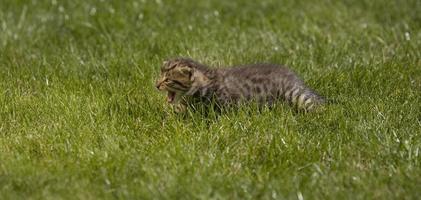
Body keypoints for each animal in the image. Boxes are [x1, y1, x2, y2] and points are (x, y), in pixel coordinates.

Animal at [156, 57, 324, 111]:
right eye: (160, 76)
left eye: (167, 79)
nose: (156, 85)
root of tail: (292, 76)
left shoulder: (225, 104)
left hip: (293, 93)